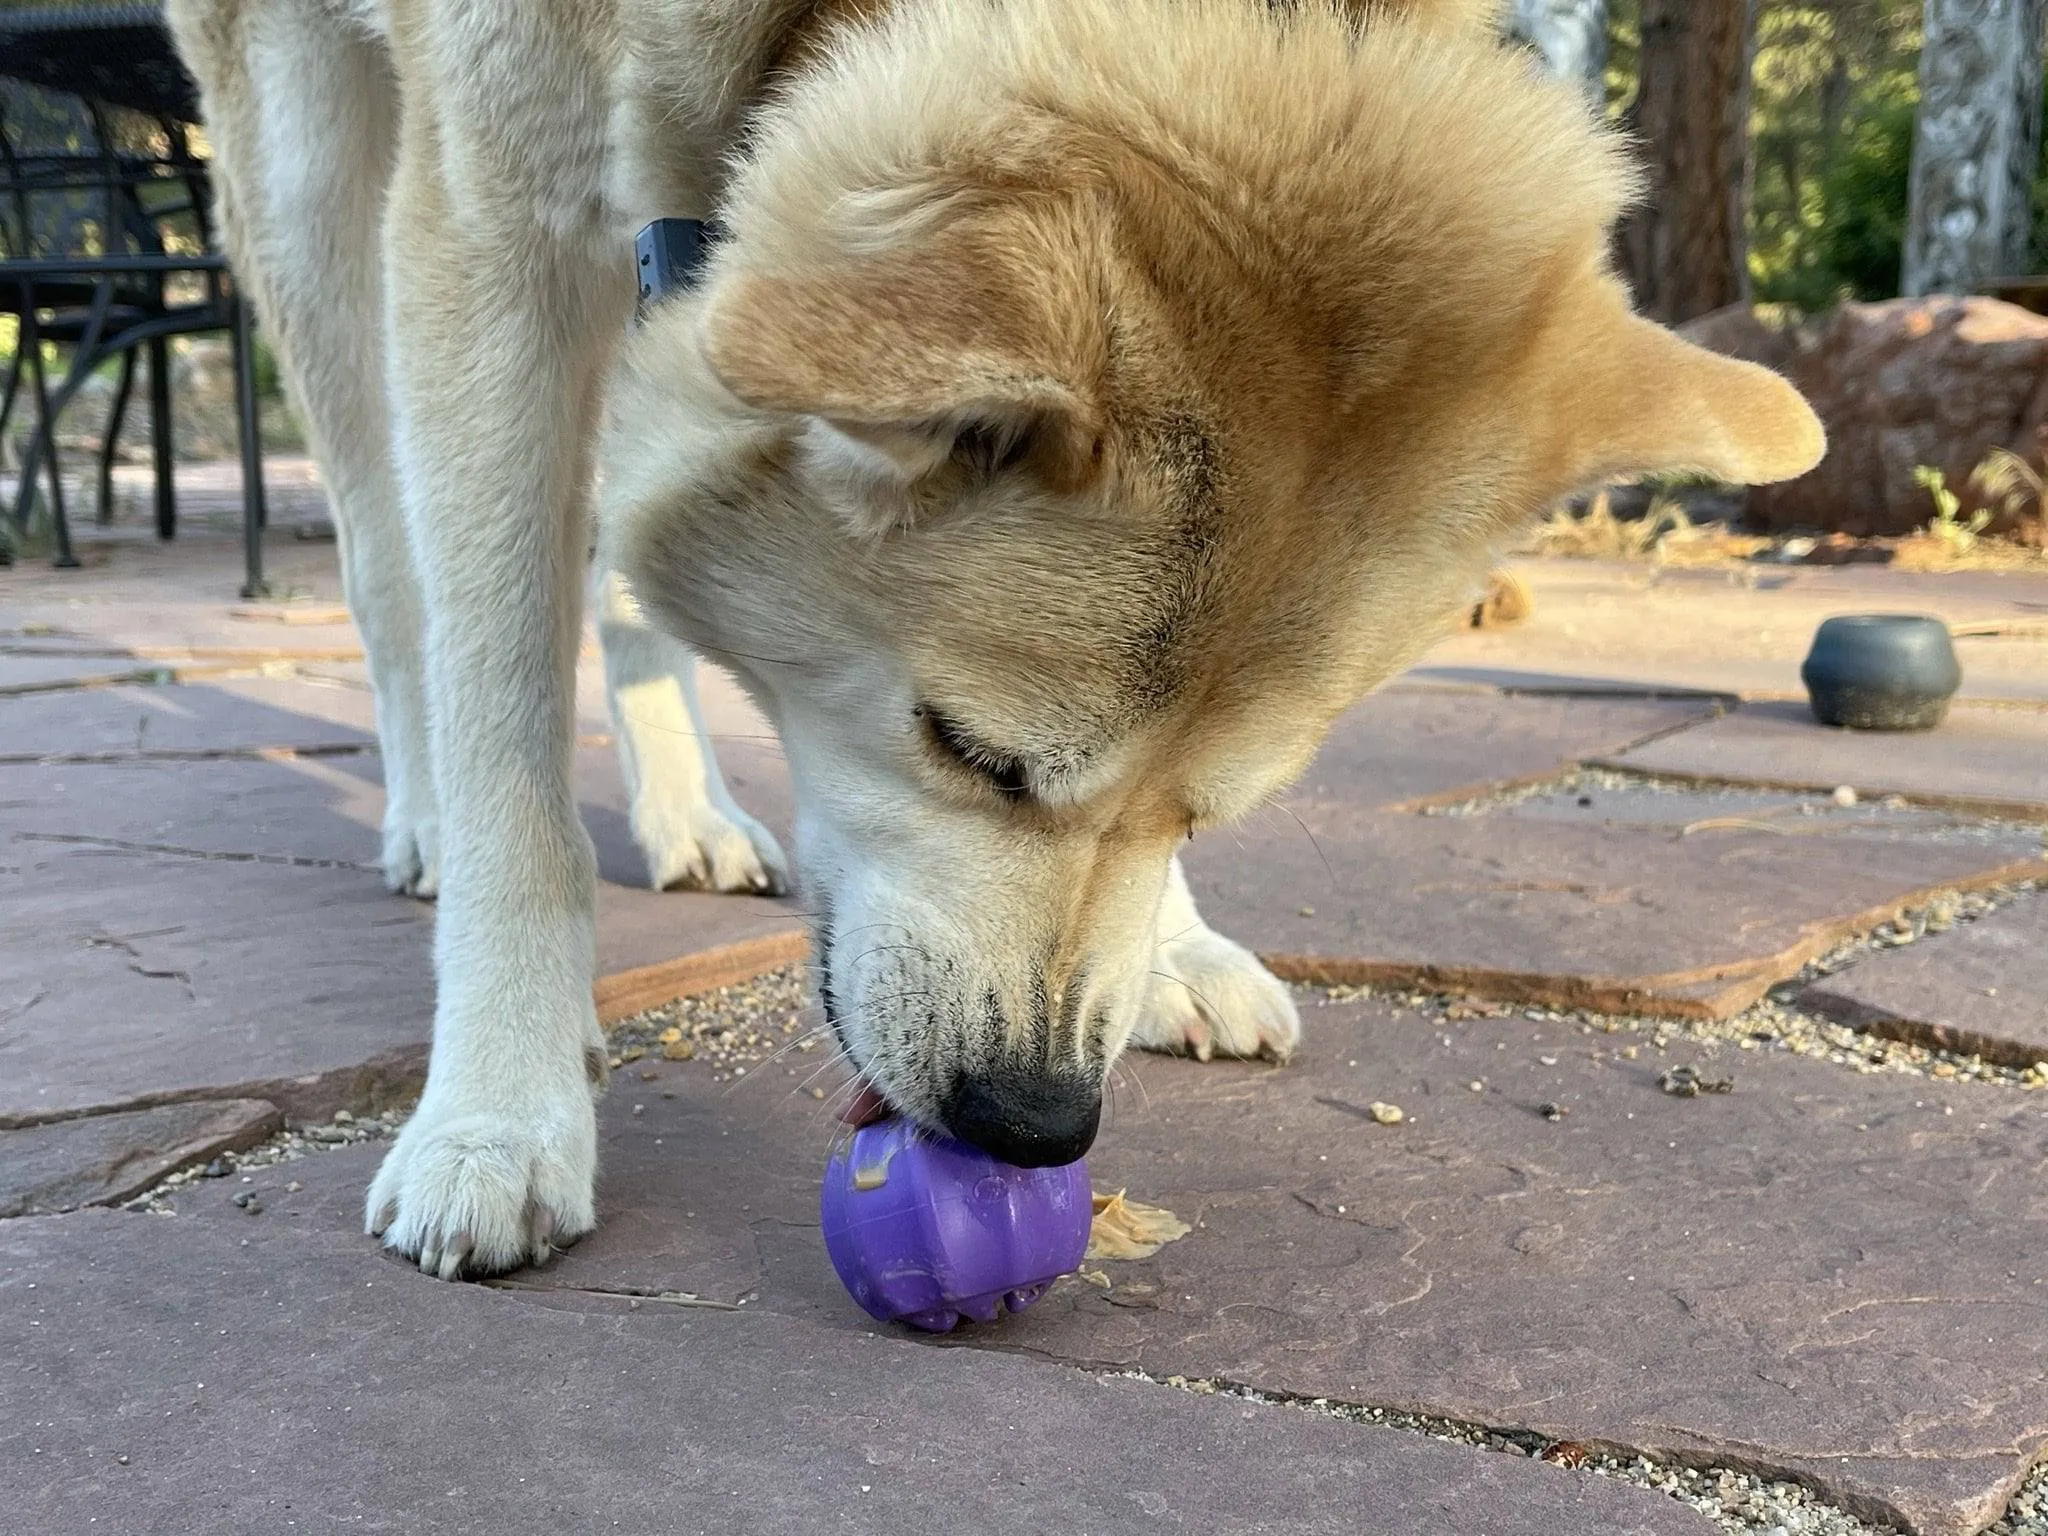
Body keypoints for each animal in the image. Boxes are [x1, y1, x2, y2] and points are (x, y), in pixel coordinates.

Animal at [163, 0, 1826, 1277]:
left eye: (1211, 811)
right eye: (968, 750)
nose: (1036, 1127)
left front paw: (1180, 947)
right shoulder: (492, 211)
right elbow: (505, 718)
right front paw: (499, 1111)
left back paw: (689, 812)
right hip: (310, 183)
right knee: (390, 564)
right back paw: (427, 820)